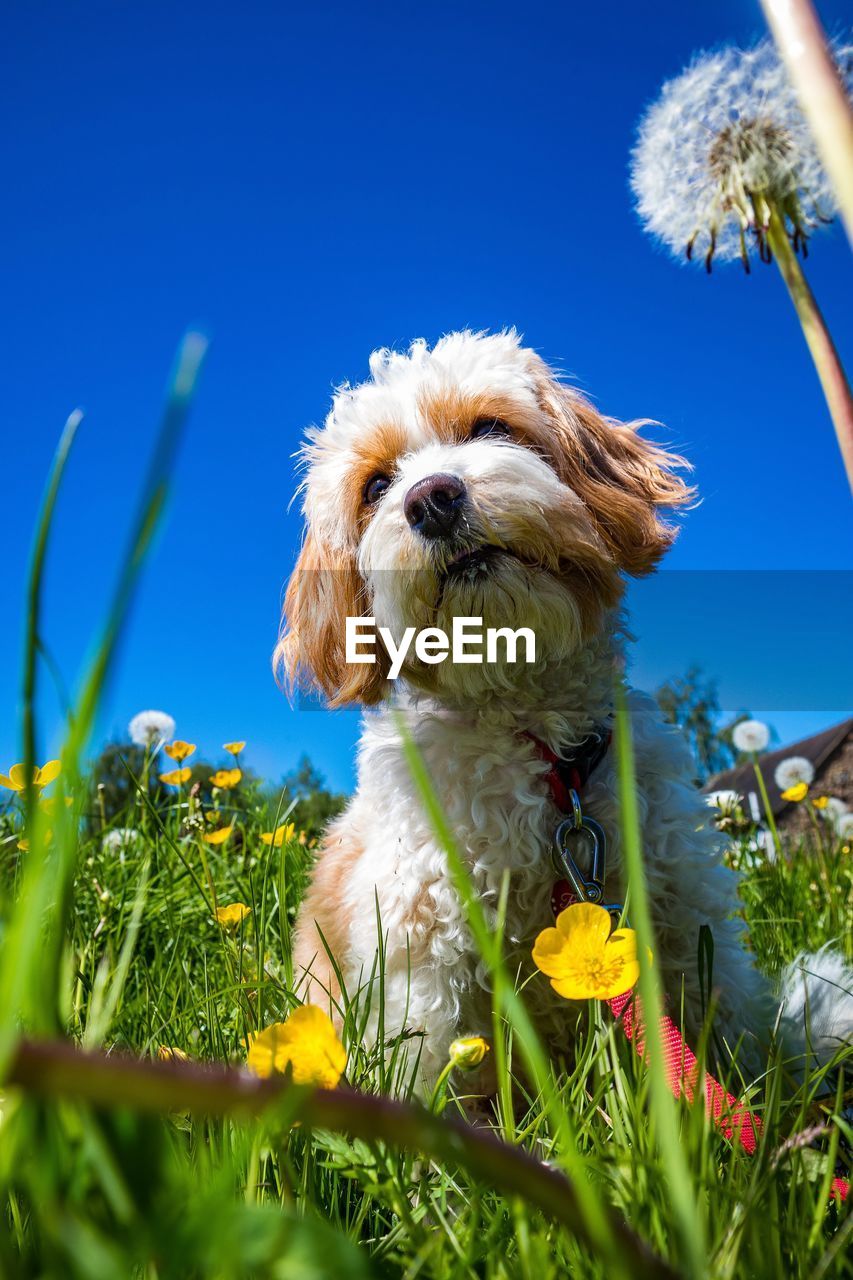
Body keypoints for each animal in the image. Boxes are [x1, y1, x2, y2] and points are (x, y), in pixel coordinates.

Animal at [275, 330, 845, 1090]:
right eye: (375, 486)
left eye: (490, 426)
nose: (431, 498)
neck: (545, 758)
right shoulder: (422, 949)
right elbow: (429, 1067)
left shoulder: (680, 907)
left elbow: (720, 1027)